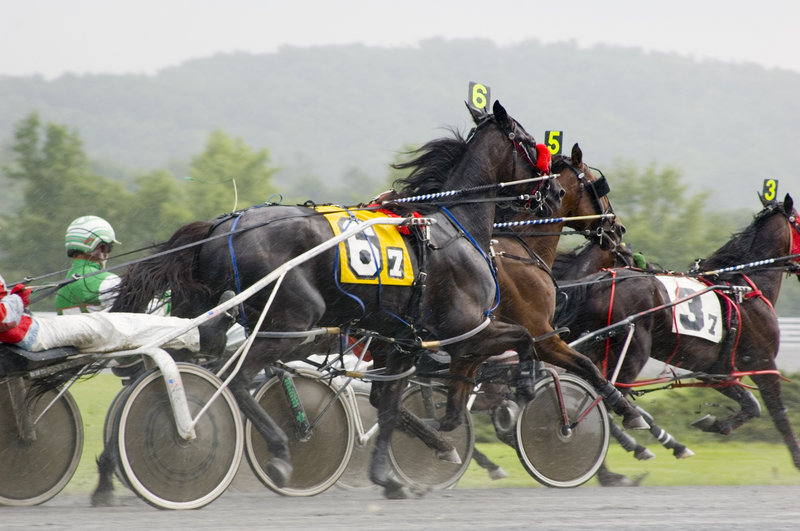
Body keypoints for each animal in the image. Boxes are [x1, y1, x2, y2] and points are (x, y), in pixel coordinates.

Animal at [98, 101, 564, 502]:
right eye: (531, 144)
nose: (556, 191)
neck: (455, 226)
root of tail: (222, 226)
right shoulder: (465, 330)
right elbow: (524, 338)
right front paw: (524, 387)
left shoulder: (403, 344)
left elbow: (389, 408)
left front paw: (392, 476)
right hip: (292, 322)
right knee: (236, 376)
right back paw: (276, 449)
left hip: (206, 309)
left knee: (188, 360)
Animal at [552, 194, 800, 474]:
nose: (647, 265)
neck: (743, 286)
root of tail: (599, 284)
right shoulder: (763, 362)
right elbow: (778, 413)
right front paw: (797, 459)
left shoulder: (716, 370)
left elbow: (750, 405)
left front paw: (714, 423)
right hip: (632, 352)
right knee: (607, 401)